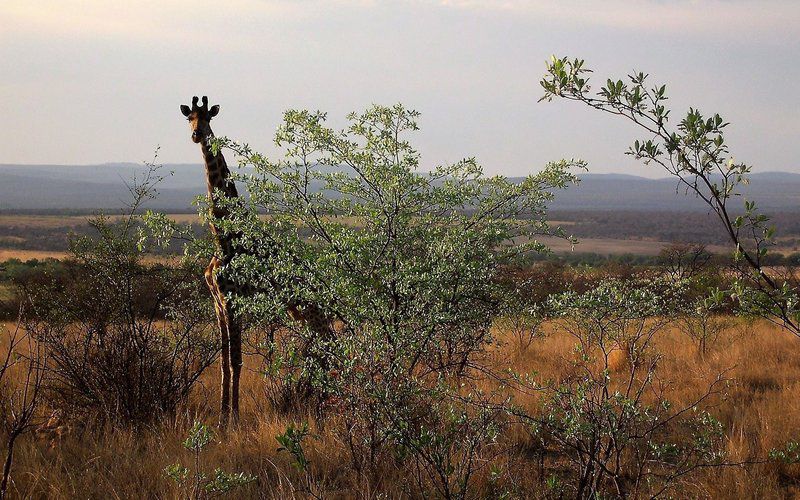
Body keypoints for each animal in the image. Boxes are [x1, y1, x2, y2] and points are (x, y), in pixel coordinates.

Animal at [181, 94, 334, 426]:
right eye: (189, 118)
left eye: (208, 118)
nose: (198, 135)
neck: (224, 239)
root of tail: (328, 286)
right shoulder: (217, 302)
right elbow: (223, 362)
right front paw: (222, 414)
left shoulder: (233, 301)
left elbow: (237, 361)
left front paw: (232, 420)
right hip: (302, 314)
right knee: (323, 349)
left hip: (313, 311)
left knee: (330, 347)